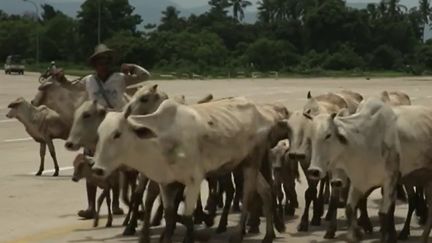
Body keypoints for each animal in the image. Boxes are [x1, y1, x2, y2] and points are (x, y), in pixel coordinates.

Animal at [93, 97, 286, 243]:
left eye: (117, 134)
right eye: (99, 134)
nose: (97, 169)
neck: (159, 140)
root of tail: (266, 113)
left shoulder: (194, 180)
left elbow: (188, 218)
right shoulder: (166, 183)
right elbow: (170, 216)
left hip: (252, 162)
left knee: (247, 196)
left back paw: (238, 235)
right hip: (241, 163)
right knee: (266, 191)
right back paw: (269, 236)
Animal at [306, 97, 400, 243]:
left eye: (328, 135)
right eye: (311, 138)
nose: (314, 171)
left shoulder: (386, 180)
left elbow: (382, 210)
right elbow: (344, 206)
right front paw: (348, 232)